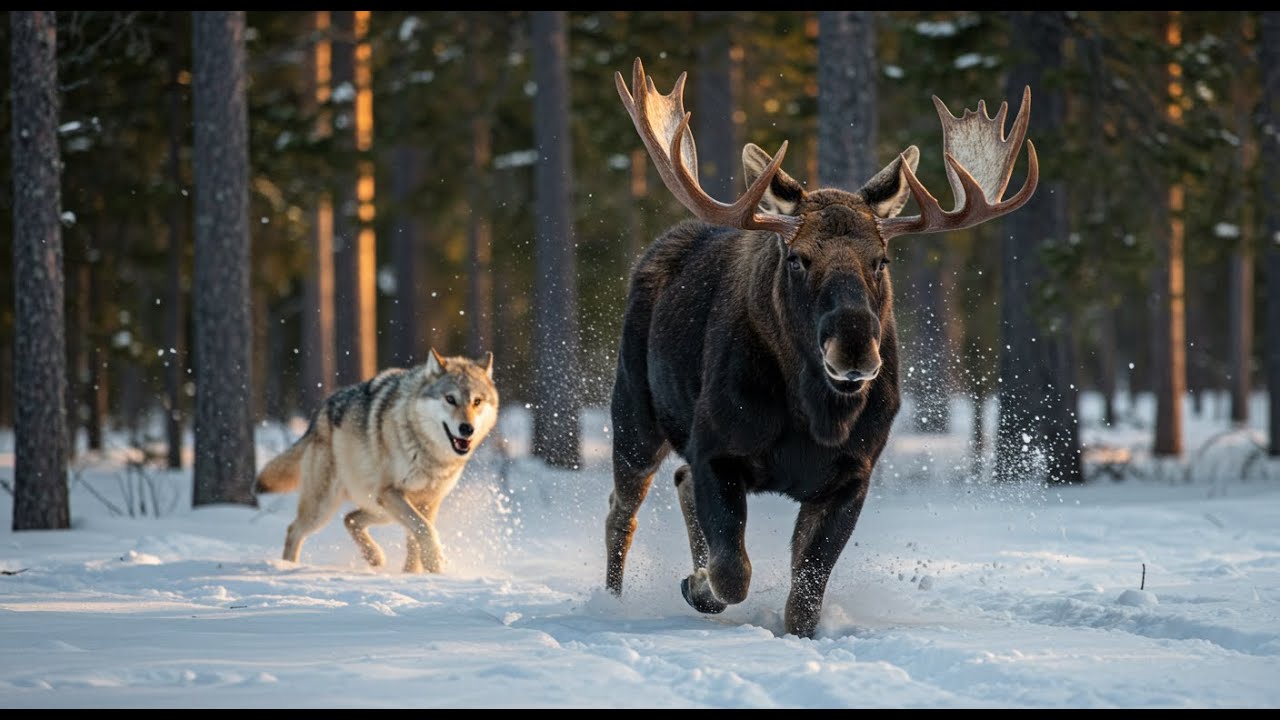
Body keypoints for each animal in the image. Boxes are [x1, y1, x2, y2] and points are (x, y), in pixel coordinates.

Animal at [604, 58, 1038, 639]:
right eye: (797, 257)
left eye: (881, 259)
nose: (853, 349)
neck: (816, 416)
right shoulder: (716, 447)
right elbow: (732, 571)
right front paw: (697, 584)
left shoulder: (852, 475)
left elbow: (805, 595)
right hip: (635, 416)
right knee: (622, 511)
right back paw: (609, 600)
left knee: (677, 480)